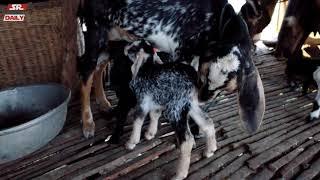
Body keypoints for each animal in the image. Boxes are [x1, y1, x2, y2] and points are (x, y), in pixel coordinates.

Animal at [79, 0, 266, 144]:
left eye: (227, 89)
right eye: (204, 77)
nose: (202, 99)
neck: (217, 18)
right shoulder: (182, 52)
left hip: (113, 36)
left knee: (100, 66)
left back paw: (103, 103)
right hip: (97, 31)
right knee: (86, 70)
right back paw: (88, 124)